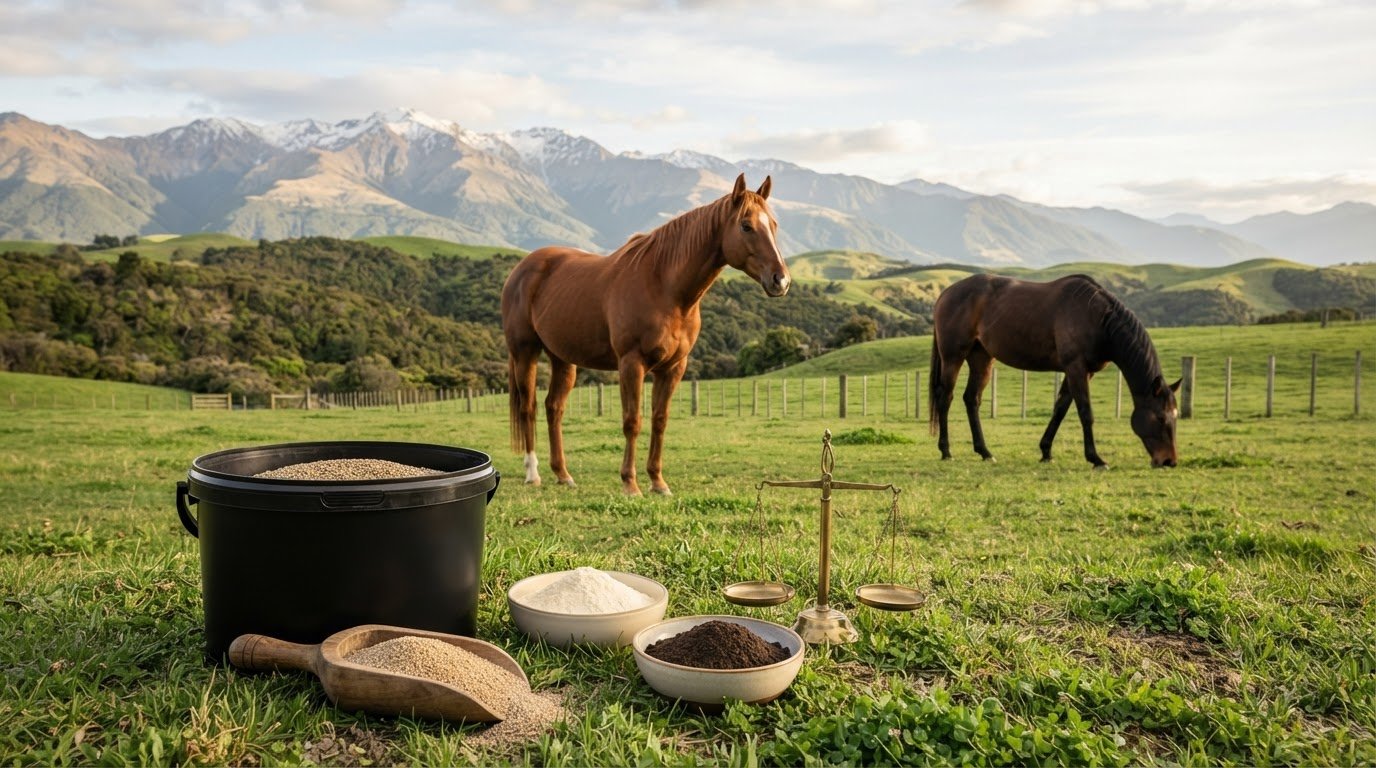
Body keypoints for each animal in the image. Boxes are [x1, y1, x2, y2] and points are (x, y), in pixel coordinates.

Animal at [501, 174, 790, 496]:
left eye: (774, 224)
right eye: (746, 226)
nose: (781, 280)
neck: (664, 287)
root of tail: (522, 269)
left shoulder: (673, 367)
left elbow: (659, 420)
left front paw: (658, 482)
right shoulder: (631, 363)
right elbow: (633, 421)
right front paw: (630, 483)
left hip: (562, 358)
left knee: (554, 408)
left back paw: (563, 474)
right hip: (525, 352)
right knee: (528, 407)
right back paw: (533, 473)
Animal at [928, 273, 1179, 469]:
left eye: (1175, 416)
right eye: (1160, 417)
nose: (1169, 461)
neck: (1097, 318)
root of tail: (945, 294)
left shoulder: (1080, 371)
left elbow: (1060, 409)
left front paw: (1046, 452)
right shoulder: (1076, 368)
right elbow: (1085, 412)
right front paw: (1096, 459)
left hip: (981, 359)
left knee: (972, 399)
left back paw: (985, 452)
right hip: (953, 358)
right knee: (945, 398)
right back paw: (946, 451)